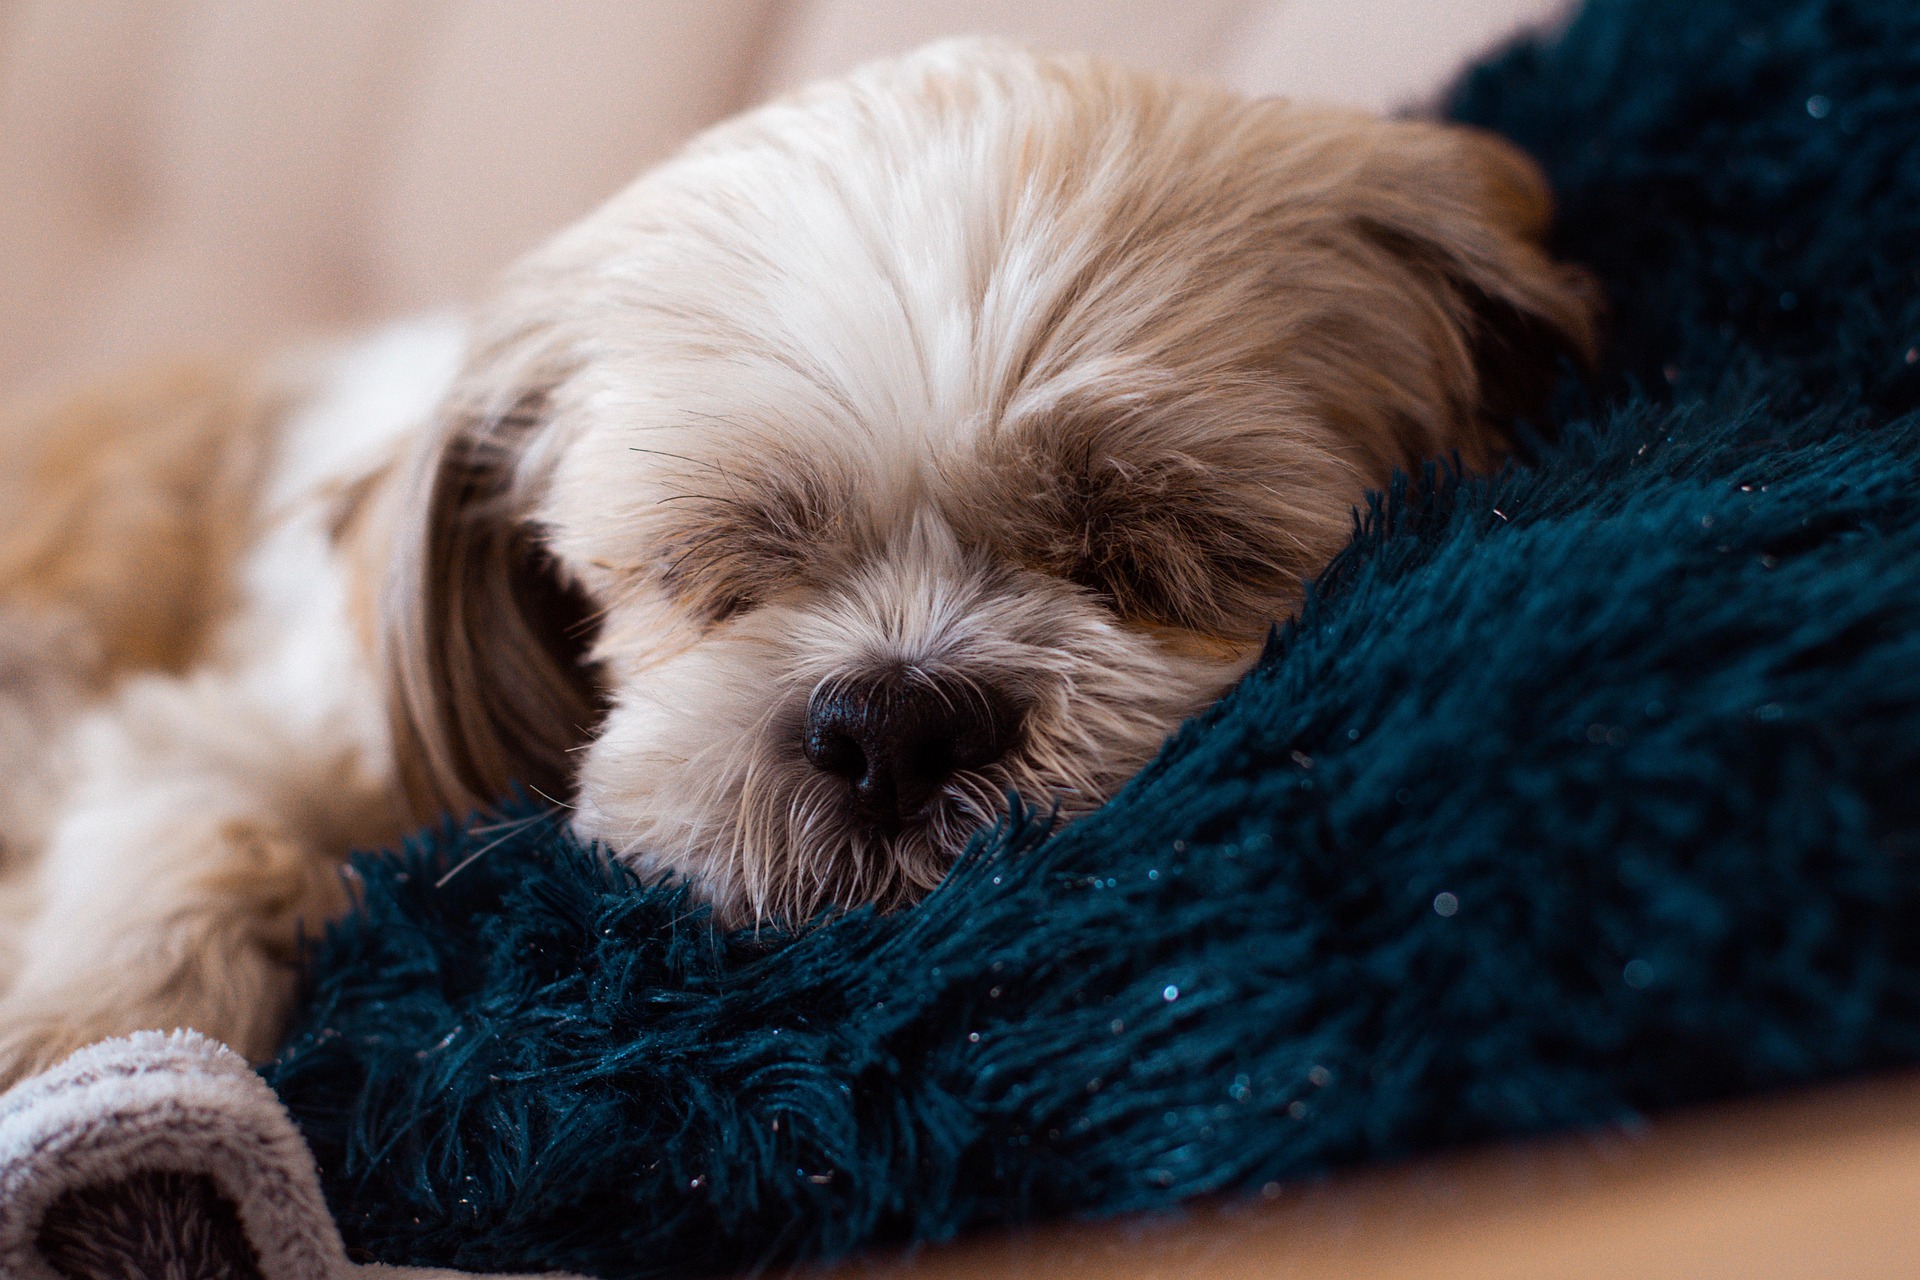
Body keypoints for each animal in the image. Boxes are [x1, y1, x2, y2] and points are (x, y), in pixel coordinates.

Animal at [0, 37, 1597, 1082]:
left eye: (1150, 550)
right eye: (711, 570)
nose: (896, 717)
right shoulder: (257, 717)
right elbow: (201, 819)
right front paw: (87, 1032)